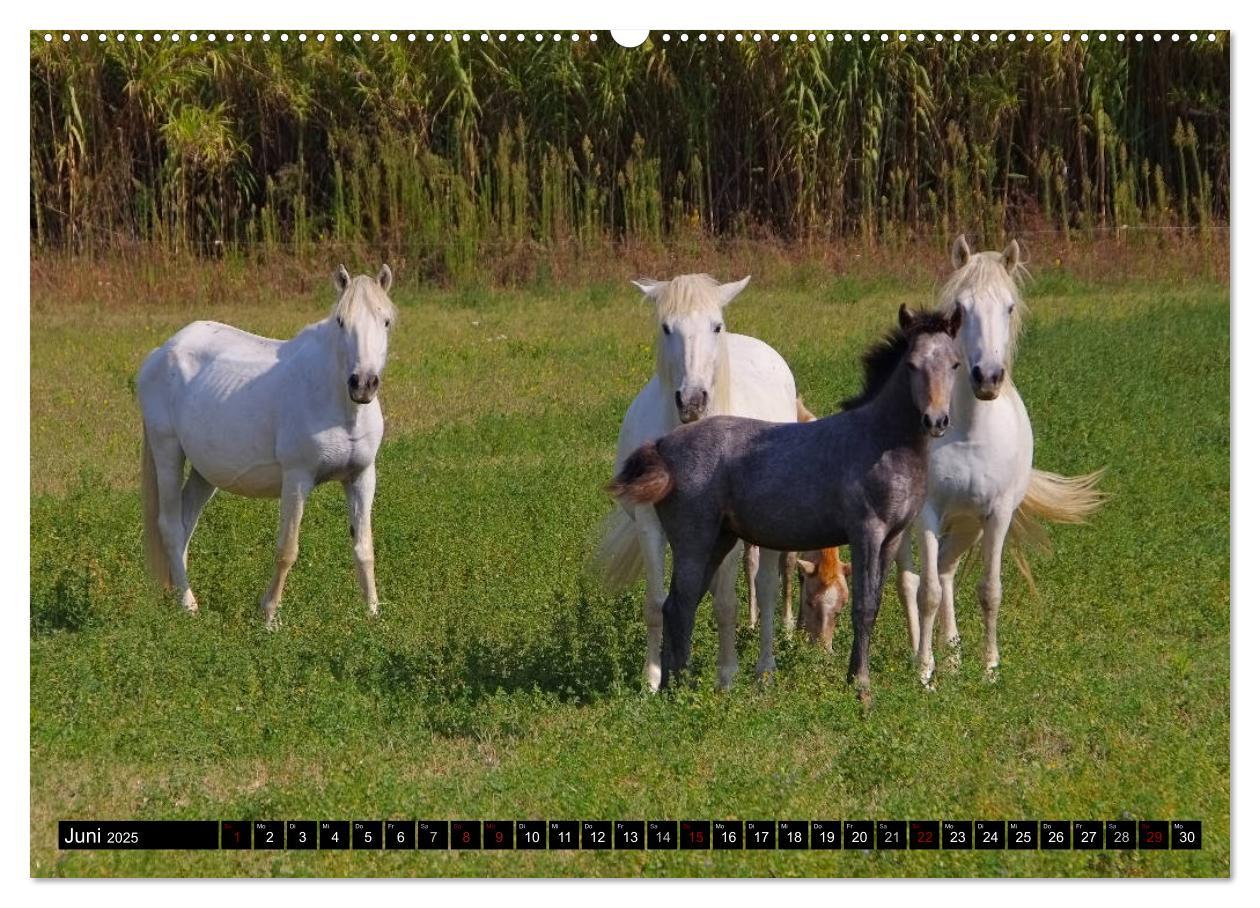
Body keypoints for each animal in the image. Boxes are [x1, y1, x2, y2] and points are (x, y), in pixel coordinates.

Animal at [136, 265, 395, 627]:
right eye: (341, 321)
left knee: (186, 523)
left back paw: (176, 595)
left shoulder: (361, 476)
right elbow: (287, 550)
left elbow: (364, 548)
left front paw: (372, 614)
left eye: (386, 321)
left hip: (205, 471)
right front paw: (270, 616)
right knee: (171, 526)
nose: (363, 384)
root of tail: (159, 353)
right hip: (167, 451)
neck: (340, 404)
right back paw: (188, 604)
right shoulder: (297, 478)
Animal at [592, 273, 791, 690]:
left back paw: (764, 670)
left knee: (766, 587)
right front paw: (652, 680)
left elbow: (726, 603)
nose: (693, 400)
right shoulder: (650, 523)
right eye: (667, 328)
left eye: (716, 326)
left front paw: (727, 677)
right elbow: (657, 602)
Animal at [607, 306, 952, 700]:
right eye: (911, 364)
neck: (878, 440)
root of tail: (663, 446)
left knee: (681, 604)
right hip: (694, 541)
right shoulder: (866, 532)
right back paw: (675, 690)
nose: (937, 420)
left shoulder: (891, 537)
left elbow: (873, 605)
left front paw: (857, 678)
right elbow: (864, 608)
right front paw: (861, 688)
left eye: (954, 363)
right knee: (677, 605)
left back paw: (677, 684)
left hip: (718, 541)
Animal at [897, 236, 1103, 685]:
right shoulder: (928, 513)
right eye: (961, 308)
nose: (987, 377)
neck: (970, 433)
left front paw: (989, 669)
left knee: (946, 569)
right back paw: (920, 652)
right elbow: (925, 592)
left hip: (967, 525)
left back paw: (953, 655)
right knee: (910, 578)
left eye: (1009, 307)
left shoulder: (998, 514)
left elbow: (989, 591)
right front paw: (923, 674)